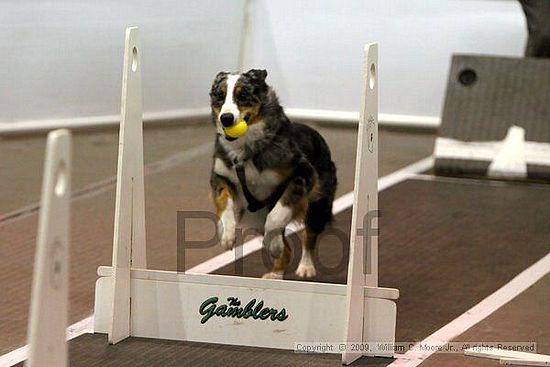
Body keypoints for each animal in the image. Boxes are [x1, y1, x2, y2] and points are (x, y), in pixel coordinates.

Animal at [209, 70, 336, 280]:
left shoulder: (302, 174)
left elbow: (276, 217)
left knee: (308, 236)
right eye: (220, 96)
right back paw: (275, 273)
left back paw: (304, 267)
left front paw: (273, 244)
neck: (246, 148)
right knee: (288, 248)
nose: (226, 118)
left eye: (242, 95)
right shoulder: (221, 175)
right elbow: (224, 202)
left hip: (318, 203)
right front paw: (226, 234)